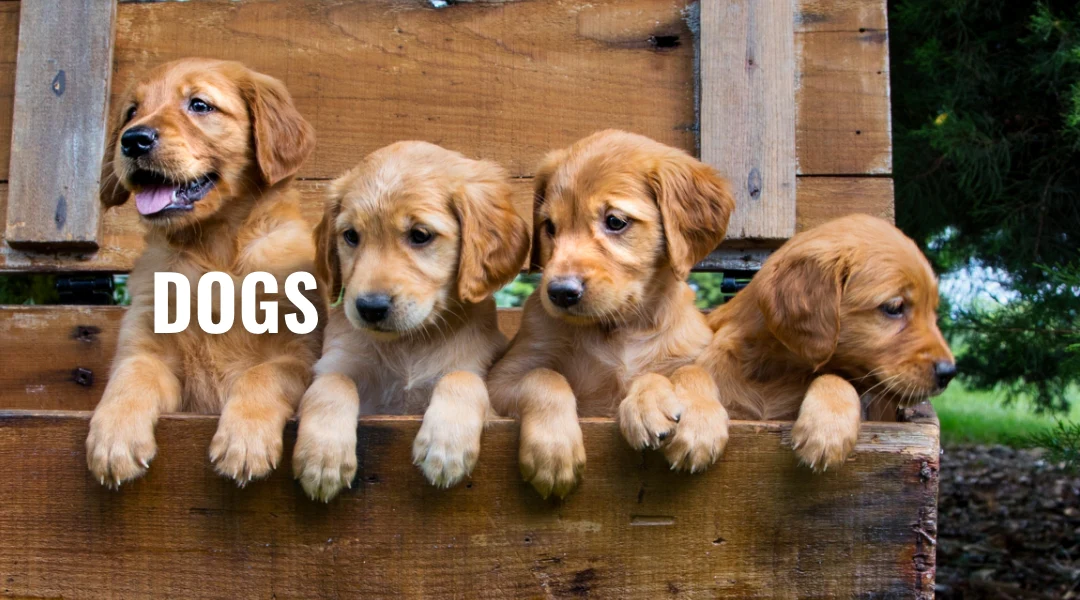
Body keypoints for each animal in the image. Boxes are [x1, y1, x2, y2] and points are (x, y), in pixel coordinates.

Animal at [86, 57, 321, 487]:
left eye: (199, 105)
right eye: (131, 111)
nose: (132, 139)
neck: (212, 254)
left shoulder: (299, 354)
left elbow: (263, 374)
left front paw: (244, 442)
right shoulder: (146, 347)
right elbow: (131, 375)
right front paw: (114, 439)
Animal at [289, 141, 529, 500]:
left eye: (420, 235)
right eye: (351, 236)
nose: (370, 307)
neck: (410, 343)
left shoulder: (479, 377)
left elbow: (461, 377)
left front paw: (446, 445)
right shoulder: (337, 365)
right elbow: (332, 383)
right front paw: (323, 456)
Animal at [488, 130, 734, 496]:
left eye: (615, 221)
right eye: (550, 226)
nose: (560, 292)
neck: (623, 326)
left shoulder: (693, 351)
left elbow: (695, 371)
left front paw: (693, 419)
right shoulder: (501, 379)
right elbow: (544, 376)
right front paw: (554, 449)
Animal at [704, 213, 959, 470]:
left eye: (932, 310)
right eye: (894, 307)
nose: (949, 373)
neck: (776, 371)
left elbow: (835, 377)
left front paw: (827, 431)